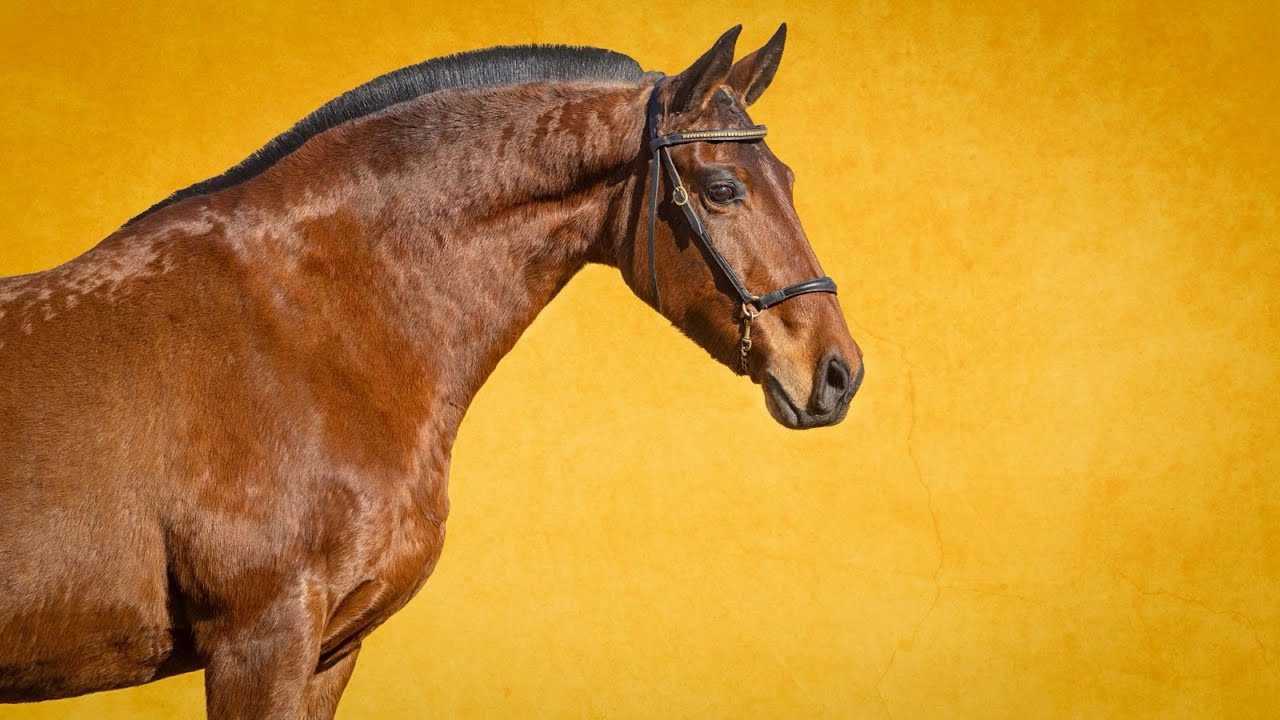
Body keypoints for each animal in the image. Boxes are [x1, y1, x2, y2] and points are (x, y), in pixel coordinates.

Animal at [0, 25, 863, 718]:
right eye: (721, 189)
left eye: (788, 179)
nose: (837, 374)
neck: (307, 330)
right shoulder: (259, 642)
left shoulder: (329, 651)